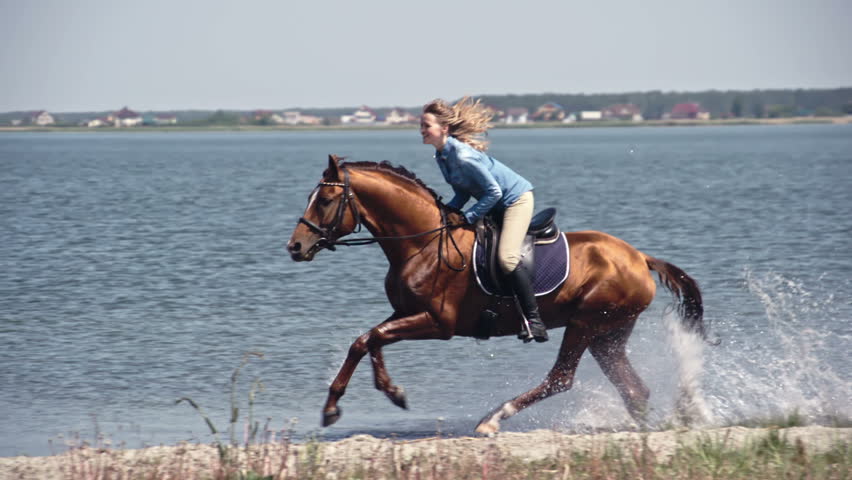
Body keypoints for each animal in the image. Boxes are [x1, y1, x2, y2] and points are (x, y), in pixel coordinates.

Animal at [286, 156, 704, 434]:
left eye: (324, 201)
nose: (295, 246)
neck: (423, 243)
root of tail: (639, 257)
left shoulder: (437, 323)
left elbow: (370, 338)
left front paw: (371, 397)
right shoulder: (405, 313)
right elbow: (367, 341)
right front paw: (368, 397)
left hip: (585, 324)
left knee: (561, 378)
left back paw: (492, 420)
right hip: (609, 334)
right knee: (633, 389)